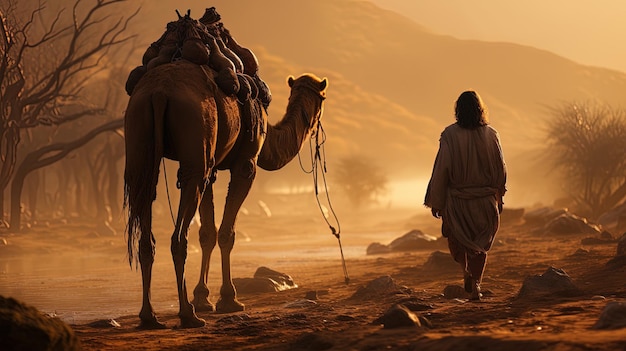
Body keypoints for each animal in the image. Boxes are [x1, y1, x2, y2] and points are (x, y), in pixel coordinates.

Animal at [122, 58, 326, 330]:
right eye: (323, 97)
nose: (315, 125)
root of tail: (158, 93)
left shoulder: (213, 168)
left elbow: (207, 233)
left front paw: (203, 298)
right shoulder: (246, 163)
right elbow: (227, 232)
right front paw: (229, 300)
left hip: (140, 140)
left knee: (147, 221)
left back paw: (149, 317)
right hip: (195, 135)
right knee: (179, 235)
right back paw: (188, 315)